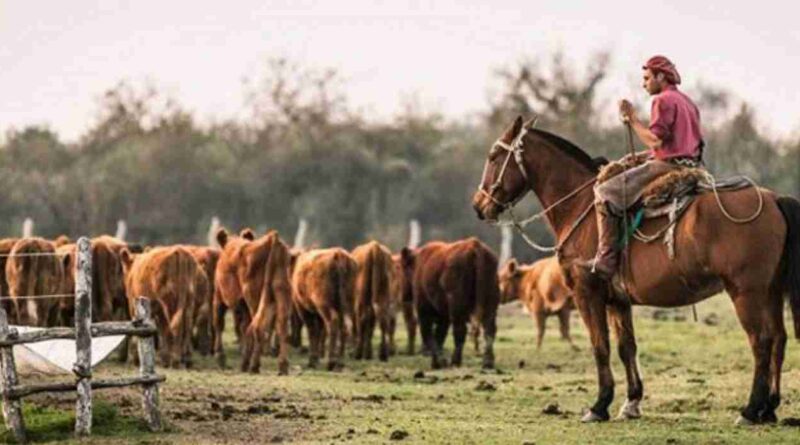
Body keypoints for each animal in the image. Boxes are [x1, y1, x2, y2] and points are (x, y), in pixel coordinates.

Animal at [212, 231, 294, 372]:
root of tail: (272, 237)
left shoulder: (219, 296)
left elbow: (219, 323)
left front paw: (220, 357)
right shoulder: (243, 306)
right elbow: (244, 328)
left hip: (254, 298)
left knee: (259, 328)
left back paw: (254, 365)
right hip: (282, 292)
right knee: (282, 327)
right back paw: (282, 366)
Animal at [400, 238, 500, 370]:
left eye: (404, 268)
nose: (403, 295)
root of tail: (474, 246)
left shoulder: (424, 312)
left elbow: (430, 335)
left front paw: (438, 362)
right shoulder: (444, 316)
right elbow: (439, 335)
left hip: (457, 308)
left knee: (460, 330)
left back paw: (455, 361)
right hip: (490, 306)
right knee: (489, 330)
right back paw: (488, 363)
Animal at [472, 115, 800, 424]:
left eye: (493, 156)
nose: (478, 206)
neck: (580, 206)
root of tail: (773, 198)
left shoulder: (587, 293)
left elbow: (600, 346)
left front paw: (599, 405)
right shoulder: (618, 300)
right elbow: (626, 347)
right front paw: (631, 402)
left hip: (746, 292)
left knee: (761, 341)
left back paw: (751, 409)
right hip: (771, 291)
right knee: (779, 339)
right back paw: (769, 408)